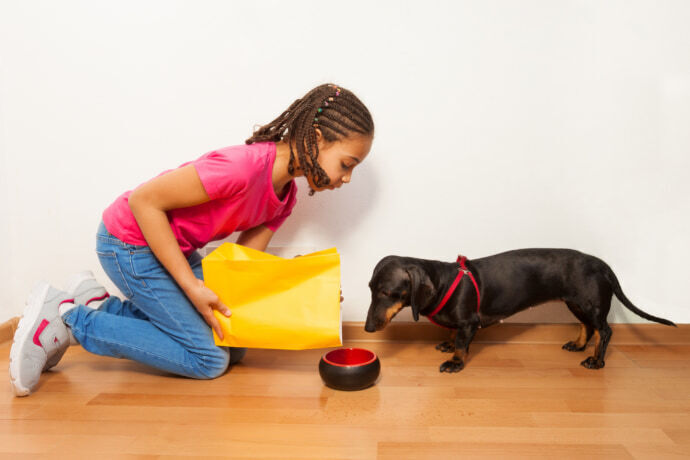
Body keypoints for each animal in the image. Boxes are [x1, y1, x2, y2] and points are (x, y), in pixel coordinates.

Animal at [362, 250, 676, 372]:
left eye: (387, 293)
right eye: (369, 288)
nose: (367, 329)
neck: (444, 282)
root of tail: (602, 264)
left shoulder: (469, 323)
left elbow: (463, 343)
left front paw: (455, 361)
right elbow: (453, 336)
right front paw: (447, 344)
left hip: (591, 304)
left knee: (605, 331)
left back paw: (596, 361)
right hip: (575, 304)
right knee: (588, 327)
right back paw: (578, 345)